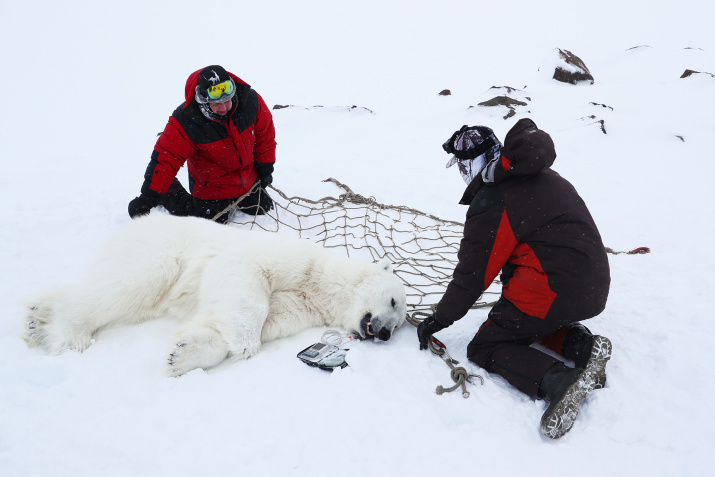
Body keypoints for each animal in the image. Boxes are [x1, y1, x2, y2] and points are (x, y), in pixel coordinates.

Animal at [22, 215, 406, 376]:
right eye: (393, 302)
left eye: (400, 324)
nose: (385, 333)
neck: (322, 284)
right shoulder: (295, 261)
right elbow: (246, 275)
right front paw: (246, 344)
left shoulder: (301, 305)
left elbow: (225, 321)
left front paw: (180, 356)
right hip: (160, 250)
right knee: (125, 284)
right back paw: (68, 333)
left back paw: (35, 316)